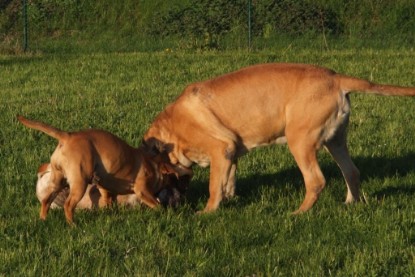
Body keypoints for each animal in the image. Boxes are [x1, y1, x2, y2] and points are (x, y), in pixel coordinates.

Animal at [17, 115, 191, 223]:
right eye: (175, 179)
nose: (183, 193)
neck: (152, 164)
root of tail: (67, 136)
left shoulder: (106, 185)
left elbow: (108, 199)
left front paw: (109, 212)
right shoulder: (142, 190)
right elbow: (156, 204)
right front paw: (165, 213)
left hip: (58, 180)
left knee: (47, 200)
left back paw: (43, 219)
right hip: (79, 182)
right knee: (68, 205)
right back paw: (72, 225)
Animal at [143, 63, 415, 213]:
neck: (173, 130)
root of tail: (335, 77)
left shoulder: (220, 149)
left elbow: (214, 186)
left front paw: (208, 211)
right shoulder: (231, 152)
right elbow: (228, 180)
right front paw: (229, 199)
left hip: (300, 141)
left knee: (316, 180)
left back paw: (299, 213)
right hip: (335, 141)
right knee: (351, 172)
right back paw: (350, 203)